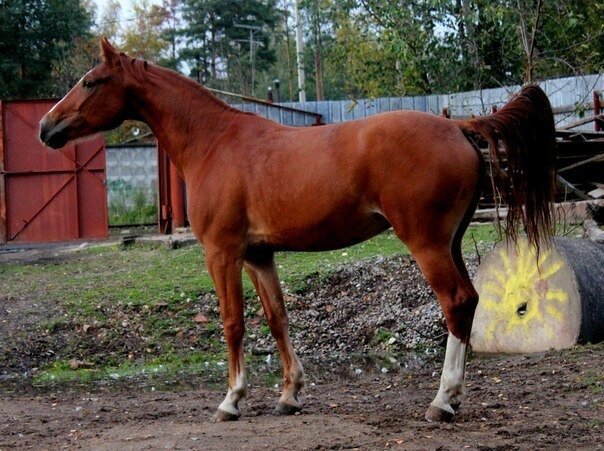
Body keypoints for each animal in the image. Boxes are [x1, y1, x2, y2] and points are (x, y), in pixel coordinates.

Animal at [39, 39, 556, 424]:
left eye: (90, 82)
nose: (46, 127)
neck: (215, 142)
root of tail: (458, 128)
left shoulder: (221, 253)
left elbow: (232, 322)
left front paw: (232, 400)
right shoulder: (258, 255)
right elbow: (277, 318)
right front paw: (290, 394)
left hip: (426, 244)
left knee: (456, 303)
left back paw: (443, 401)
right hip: (450, 243)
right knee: (468, 301)